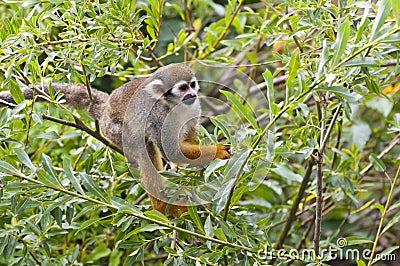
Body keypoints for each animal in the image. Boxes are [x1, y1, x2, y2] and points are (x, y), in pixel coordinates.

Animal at [0, 64, 230, 216]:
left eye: (192, 85)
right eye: (183, 88)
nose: (192, 93)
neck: (174, 106)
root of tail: (105, 108)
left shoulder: (194, 107)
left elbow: (188, 137)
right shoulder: (158, 117)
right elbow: (171, 151)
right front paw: (218, 151)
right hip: (114, 130)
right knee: (142, 147)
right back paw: (162, 207)